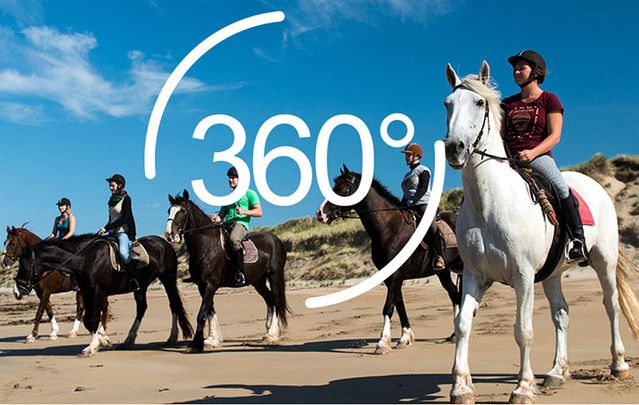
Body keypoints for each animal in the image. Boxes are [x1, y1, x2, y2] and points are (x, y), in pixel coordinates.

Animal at [13, 232, 191, 356]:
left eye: (25, 265)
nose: (18, 290)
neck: (84, 260)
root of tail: (164, 243)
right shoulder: (86, 292)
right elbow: (88, 320)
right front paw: (103, 340)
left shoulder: (97, 291)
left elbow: (92, 319)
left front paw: (92, 346)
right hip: (142, 286)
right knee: (143, 308)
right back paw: (129, 340)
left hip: (167, 279)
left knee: (173, 304)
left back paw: (172, 337)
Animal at [164, 191, 288, 352]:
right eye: (169, 211)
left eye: (182, 211)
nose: (169, 234)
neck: (207, 245)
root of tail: (276, 240)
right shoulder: (202, 286)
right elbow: (210, 311)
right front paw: (212, 339)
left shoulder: (210, 284)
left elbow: (202, 314)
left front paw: (196, 345)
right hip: (258, 282)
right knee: (271, 301)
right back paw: (268, 334)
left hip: (274, 276)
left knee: (277, 301)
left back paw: (273, 335)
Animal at [318, 166, 462, 352]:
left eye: (340, 189)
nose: (320, 214)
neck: (390, 227)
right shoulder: (389, 277)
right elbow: (398, 304)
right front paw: (404, 338)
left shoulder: (396, 275)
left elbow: (388, 307)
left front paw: (382, 342)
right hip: (442, 272)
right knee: (454, 294)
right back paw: (454, 334)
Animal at [442, 61, 639, 402]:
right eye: (447, 104)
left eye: (479, 102)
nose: (455, 149)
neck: (489, 204)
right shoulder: (474, 276)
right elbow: (464, 324)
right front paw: (461, 387)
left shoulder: (522, 276)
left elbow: (523, 331)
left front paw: (523, 387)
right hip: (553, 273)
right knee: (561, 313)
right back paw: (557, 372)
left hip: (604, 260)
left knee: (611, 305)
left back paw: (618, 364)